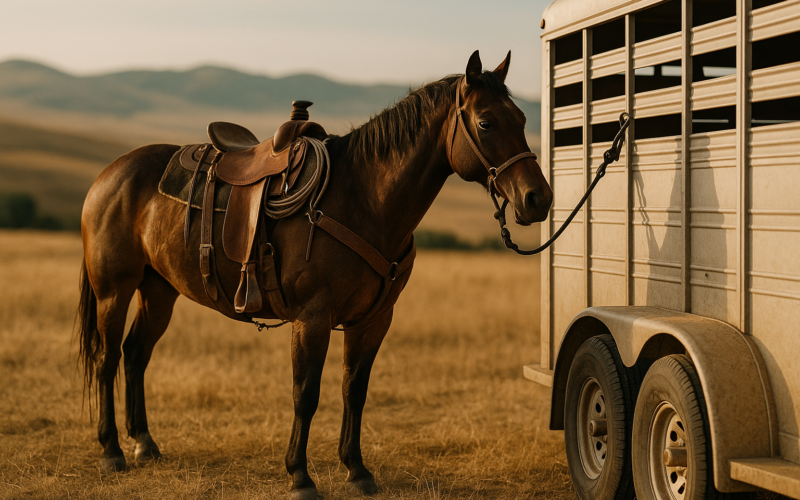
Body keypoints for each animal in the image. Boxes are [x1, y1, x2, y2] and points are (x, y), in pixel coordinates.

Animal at [76, 50, 553, 499]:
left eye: (522, 119)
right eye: (486, 122)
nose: (538, 199)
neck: (363, 200)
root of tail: (109, 173)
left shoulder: (373, 321)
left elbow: (354, 390)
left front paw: (357, 470)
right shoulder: (312, 318)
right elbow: (305, 394)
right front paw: (300, 476)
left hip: (159, 291)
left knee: (136, 354)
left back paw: (144, 443)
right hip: (114, 291)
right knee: (107, 357)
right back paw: (112, 450)